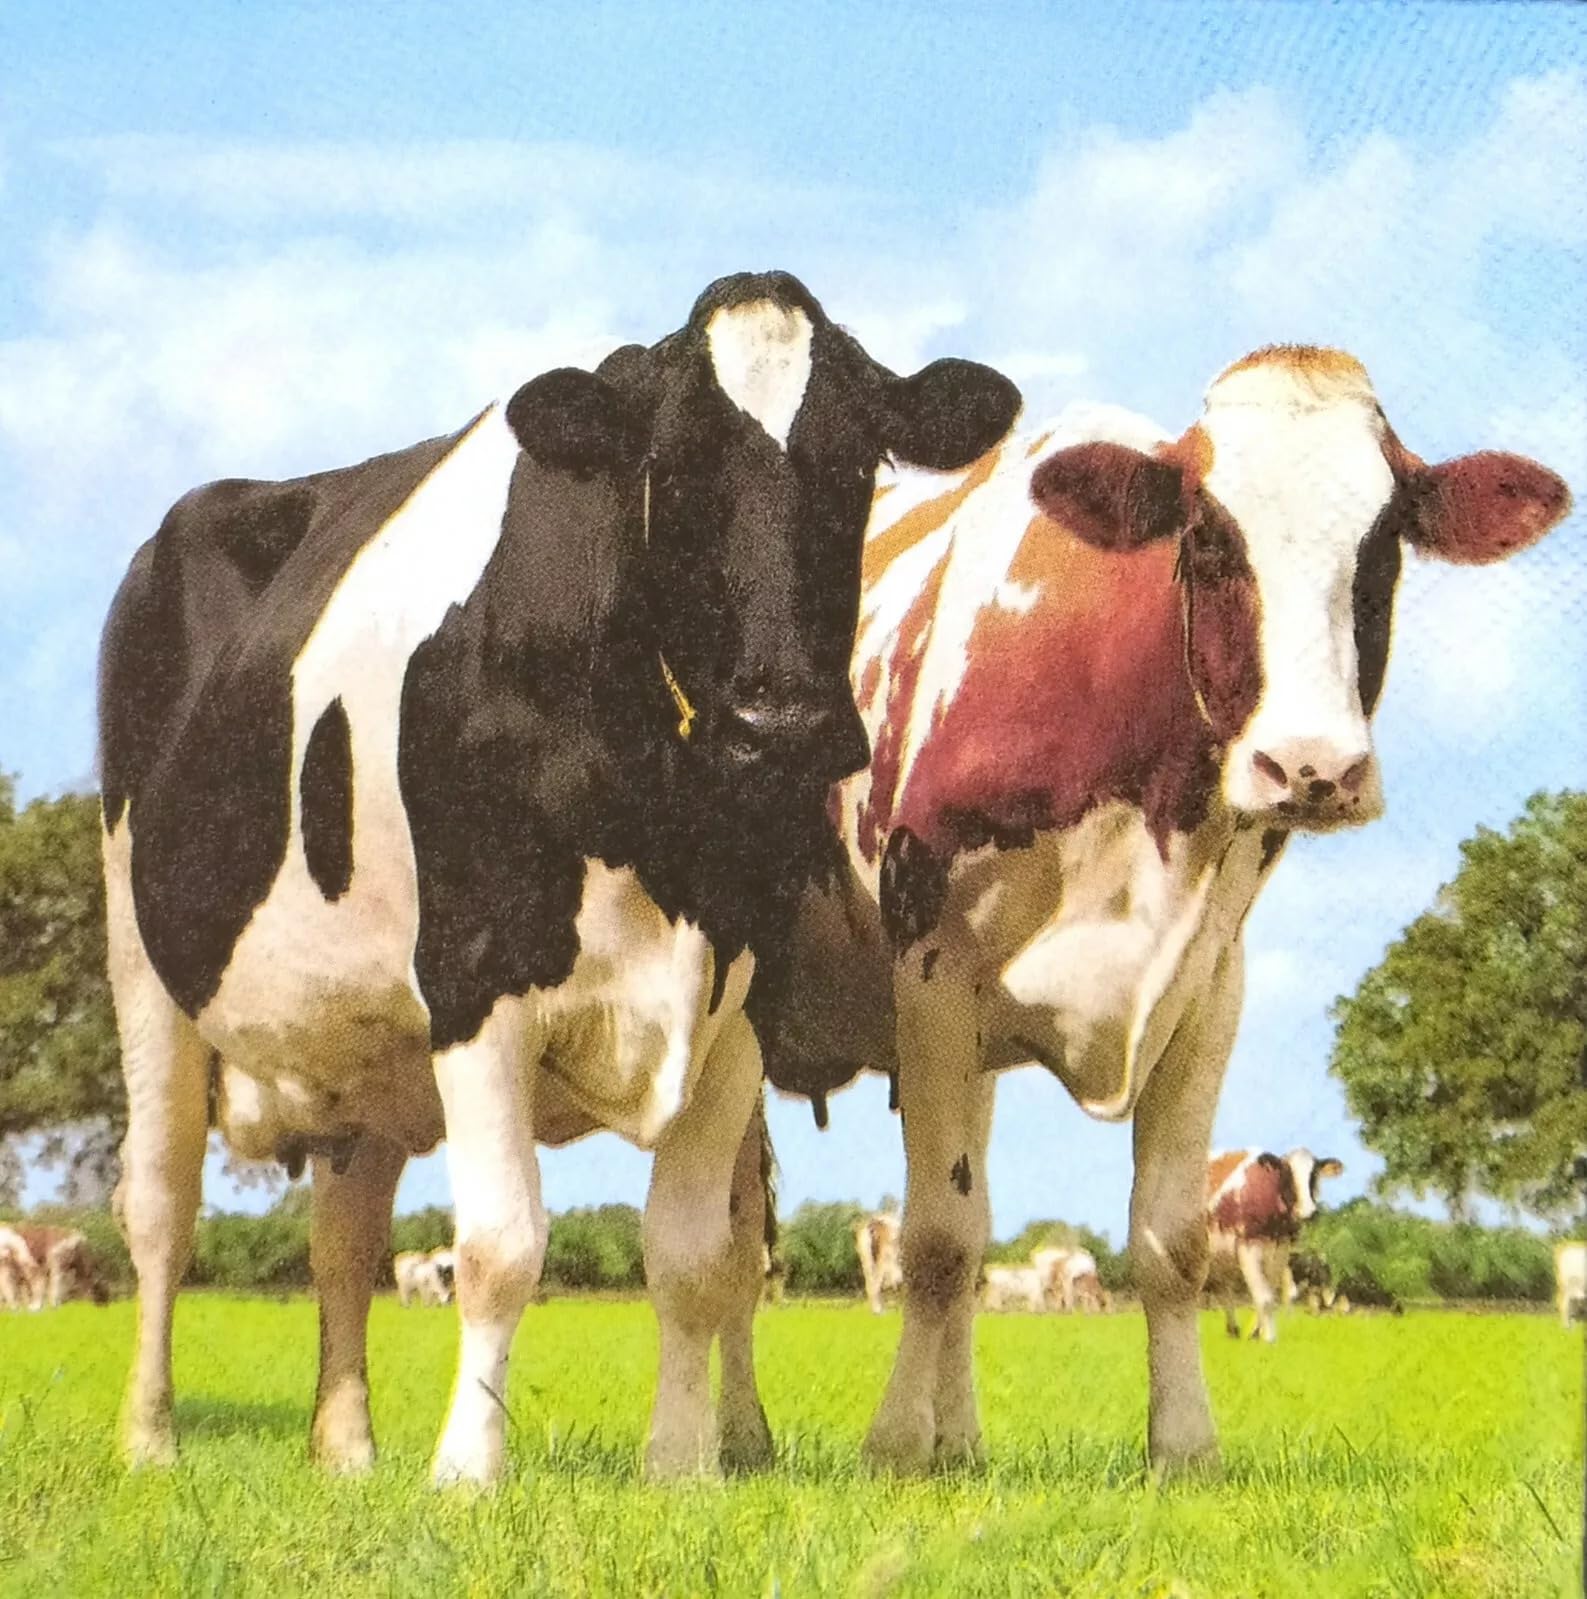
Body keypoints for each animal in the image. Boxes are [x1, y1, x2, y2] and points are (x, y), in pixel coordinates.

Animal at [97, 268, 1019, 1486]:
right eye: (670, 466)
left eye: (858, 459)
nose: (780, 721)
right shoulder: (475, 978)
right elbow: (500, 1247)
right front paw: (467, 1472)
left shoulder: (738, 1001)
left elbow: (693, 1255)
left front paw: (679, 1467)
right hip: (141, 960)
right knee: (159, 1205)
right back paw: (149, 1438)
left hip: (360, 1044)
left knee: (343, 1238)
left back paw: (346, 1449)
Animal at [1206, 1148, 1343, 1342]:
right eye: (1287, 1173)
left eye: (1314, 1174)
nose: (1308, 1212)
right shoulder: (1248, 1247)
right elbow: (1264, 1298)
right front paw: (1269, 1338)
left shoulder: (1281, 1250)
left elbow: (1270, 1294)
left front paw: (1257, 1333)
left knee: (1223, 1287)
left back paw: (1233, 1330)